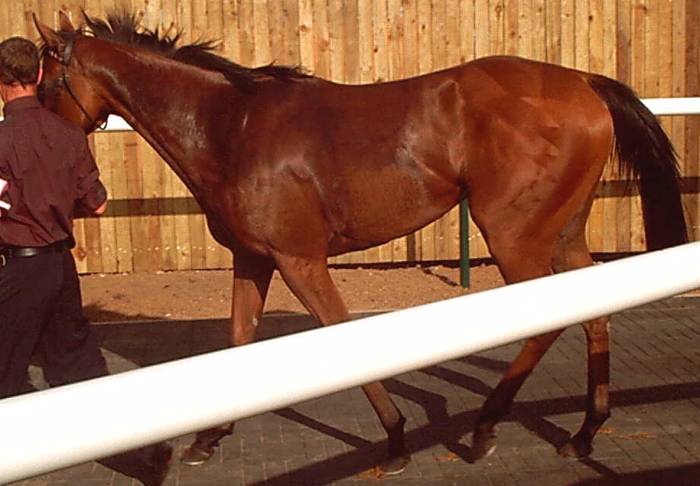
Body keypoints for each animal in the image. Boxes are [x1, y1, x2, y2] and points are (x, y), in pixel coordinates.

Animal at [34, 10, 687, 474]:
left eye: (43, 88)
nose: (39, 149)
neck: (231, 127)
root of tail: (583, 83)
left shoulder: (300, 260)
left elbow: (343, 337)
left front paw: (396, 439)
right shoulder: (252, 260)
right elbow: (238, 340)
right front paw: (208, 436)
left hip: (513, 237)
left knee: (546, 323)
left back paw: (484, 429)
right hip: (563, 237)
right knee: (594, 315)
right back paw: (583, 434)